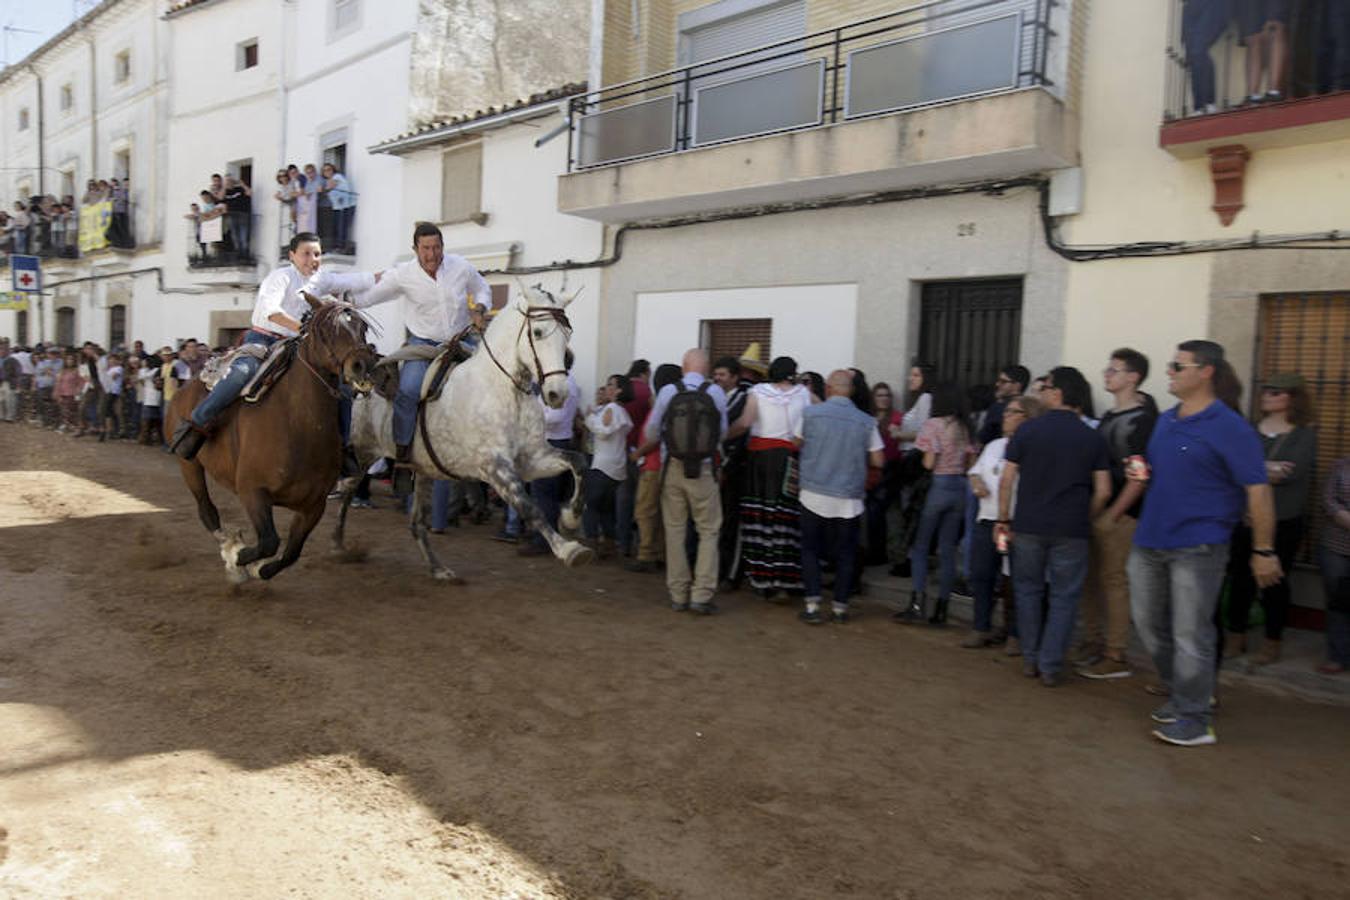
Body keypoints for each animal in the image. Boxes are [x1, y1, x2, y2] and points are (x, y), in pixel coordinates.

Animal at [170, 292, 380, 580]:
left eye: (363, 327)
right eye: (325, 329)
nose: (362, 366)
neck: (298, 426)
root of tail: (185, 386)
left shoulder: (313, 506)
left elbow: (291, 552)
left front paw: (259, 567)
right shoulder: (252, 492)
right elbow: (269, 541)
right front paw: (238, 558)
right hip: (189, 465)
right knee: (207, 510)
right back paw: (228, 546)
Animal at [333, 283, 591, 585]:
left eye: (567, 334)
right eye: (537, 332)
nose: (556, 394)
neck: (502, 389)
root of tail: (359, 384)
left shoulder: (531, 460)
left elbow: (578, 463)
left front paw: (571, 518)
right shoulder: (494, 467)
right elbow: (530, 507)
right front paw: (568, 549)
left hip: (420, 469)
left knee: (415, 523)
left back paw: (438, 568)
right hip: (362, 455)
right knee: (347, 490)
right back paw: (338, 544)